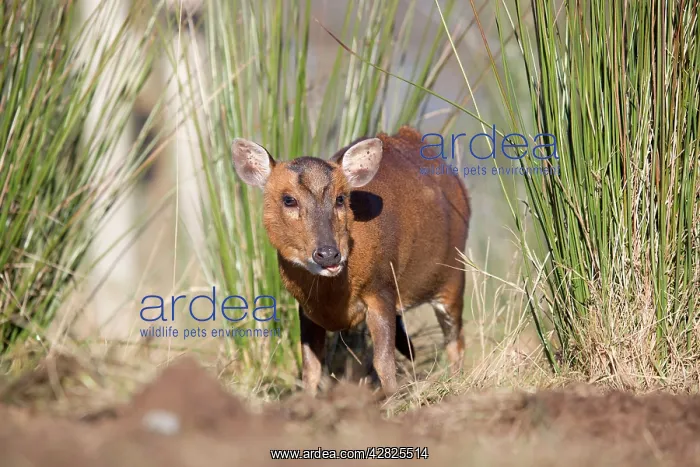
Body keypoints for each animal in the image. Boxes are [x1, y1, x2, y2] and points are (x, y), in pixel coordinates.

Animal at [232, 126, 471, 397]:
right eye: (288, 199)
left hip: (454, 276)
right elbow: (311, 368)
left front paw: (393, 400)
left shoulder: (382, 288)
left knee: (455, 342)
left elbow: (384, 362)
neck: (332, 299)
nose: (328, 254)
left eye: (341, 198)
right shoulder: (306, 309)